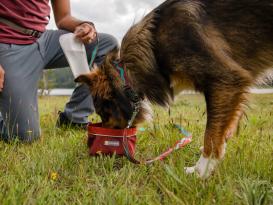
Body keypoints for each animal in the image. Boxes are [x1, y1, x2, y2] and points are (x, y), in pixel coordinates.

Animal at [75, 0, 272, 179]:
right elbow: (221, 129)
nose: (92, 145)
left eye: (103, 113)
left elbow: (211, 136)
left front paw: (200, 171)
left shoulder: (225, 80)